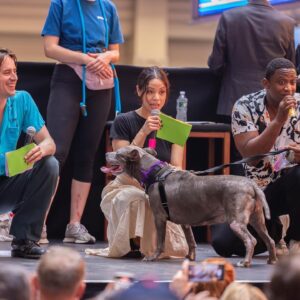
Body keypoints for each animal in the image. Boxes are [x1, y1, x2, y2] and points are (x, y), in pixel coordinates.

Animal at [102, 145, 276, 268]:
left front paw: (152, 257)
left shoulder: (159, 217)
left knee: (251, 240)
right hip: (258, 220)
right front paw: (190, 258)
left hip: (236, 222)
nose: (106, 153)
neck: (156, 173)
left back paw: (245, 262)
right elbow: (191, 241)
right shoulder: (185, 222)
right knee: (270, 239)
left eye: (118, 153)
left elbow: (160, 242)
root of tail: (252, 185)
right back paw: (272, 260)